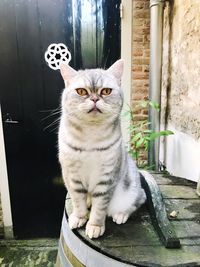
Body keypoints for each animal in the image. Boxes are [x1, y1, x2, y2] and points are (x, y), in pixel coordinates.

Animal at [57, 59, 145, 240]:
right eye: (81, 91)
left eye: (105, 91)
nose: (95, 98)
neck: (90, 134)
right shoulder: (72, 176)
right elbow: (78, 201)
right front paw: (79, 217)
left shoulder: (106, 178)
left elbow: (99, 209)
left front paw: (95, 226)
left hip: (132, 190)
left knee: (139, 200)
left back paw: (121, 214)